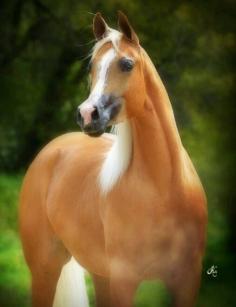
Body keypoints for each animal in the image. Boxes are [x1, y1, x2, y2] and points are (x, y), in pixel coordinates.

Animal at [20, 10, 208, 306]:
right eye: (91, 67)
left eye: (127, 64)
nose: (87, 115)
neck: (165, 190)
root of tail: (52, 149)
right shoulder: (124, 279)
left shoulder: (187, 280)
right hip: (45, 270)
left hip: (100, 274)